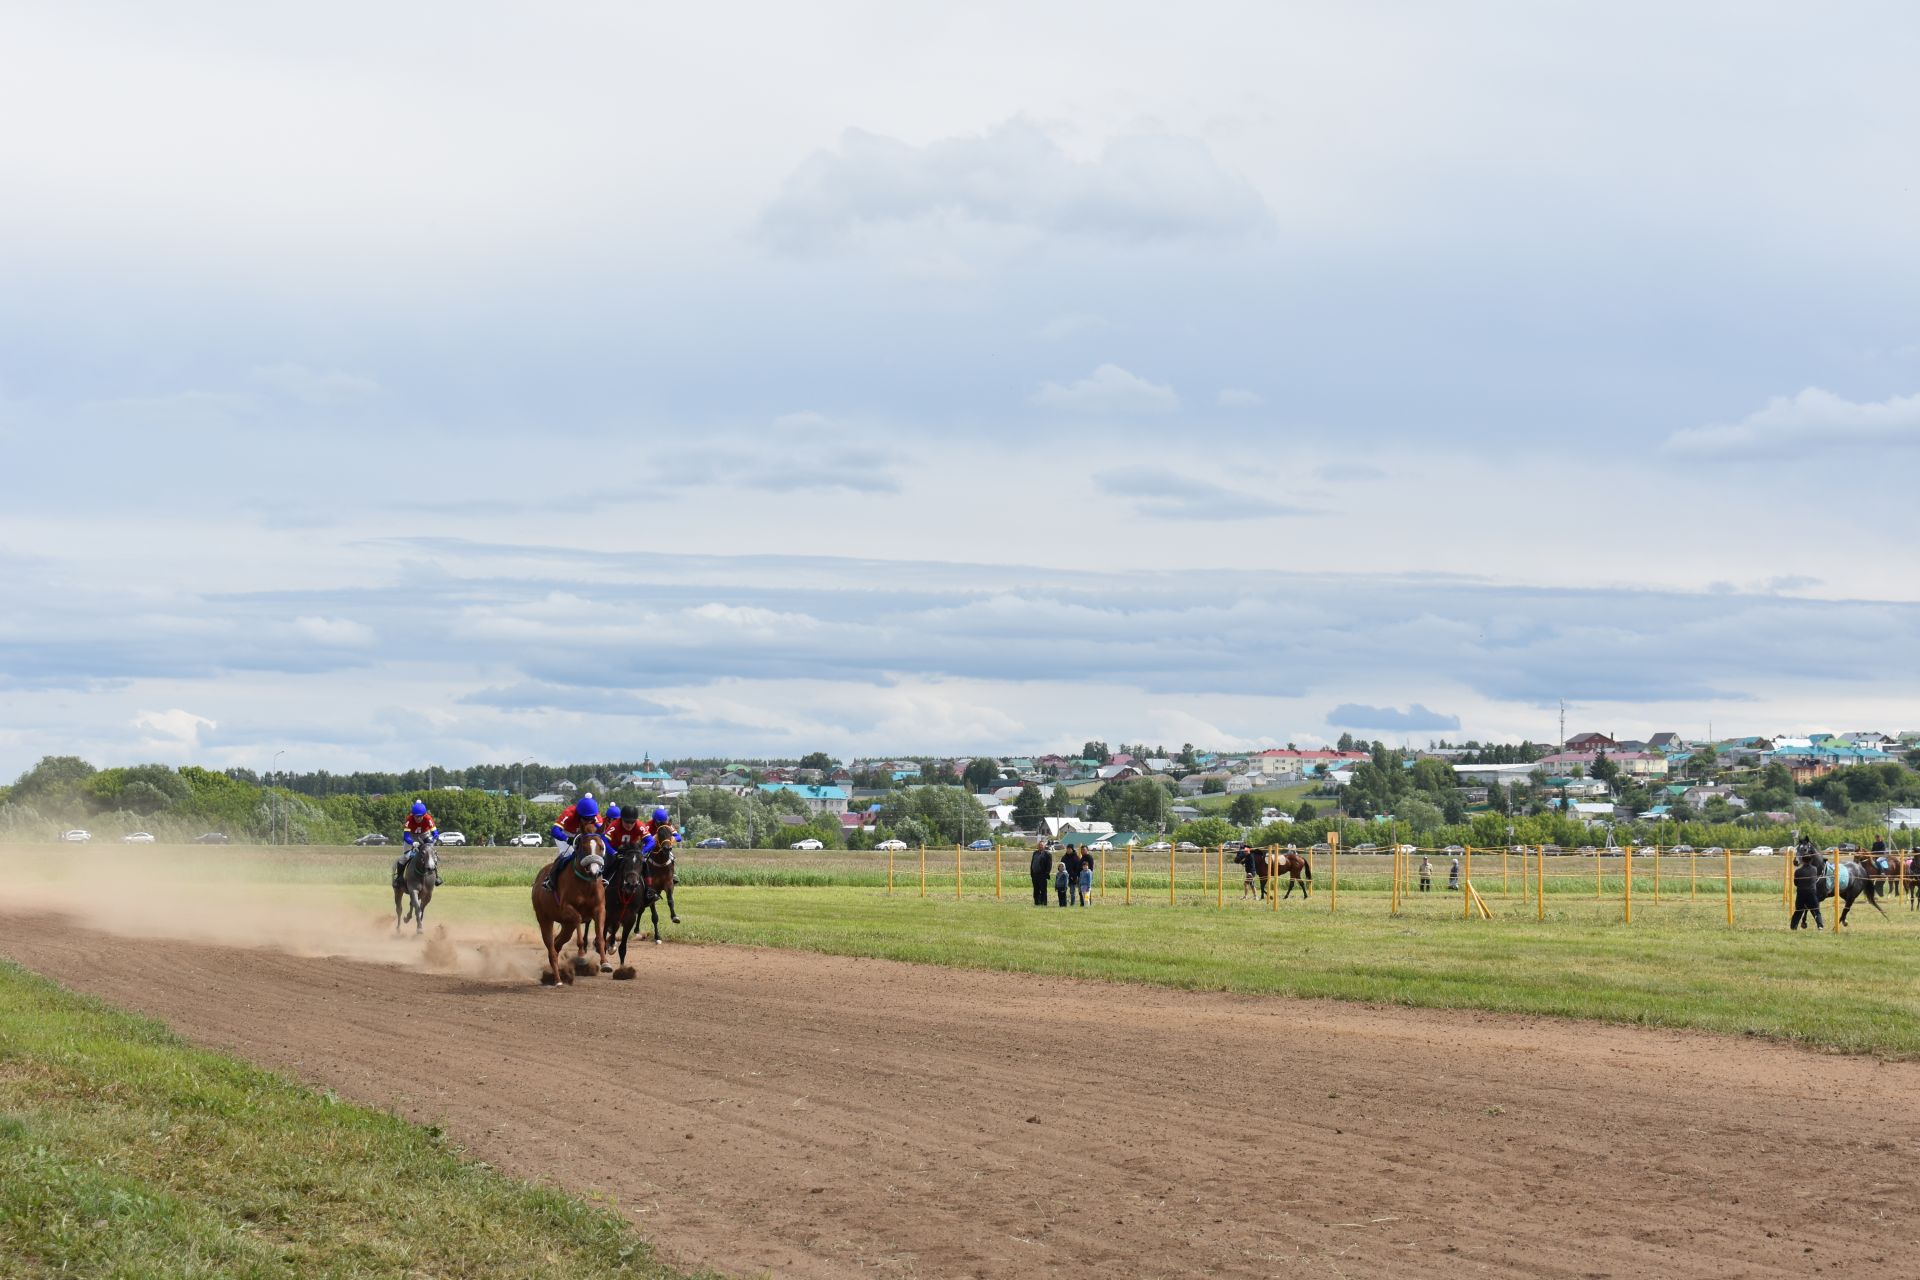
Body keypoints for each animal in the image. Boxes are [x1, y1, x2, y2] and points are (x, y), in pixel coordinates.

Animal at [529, 836, 602, 990]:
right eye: (584, 848)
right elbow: (579, 918)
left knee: (557, 944)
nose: (594, 871)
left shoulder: (599, 909)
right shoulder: (567, 909)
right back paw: (557, 980)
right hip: (544, 919)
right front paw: (581, 953)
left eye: (601, 847)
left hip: (567, 926)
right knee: (552, 948)